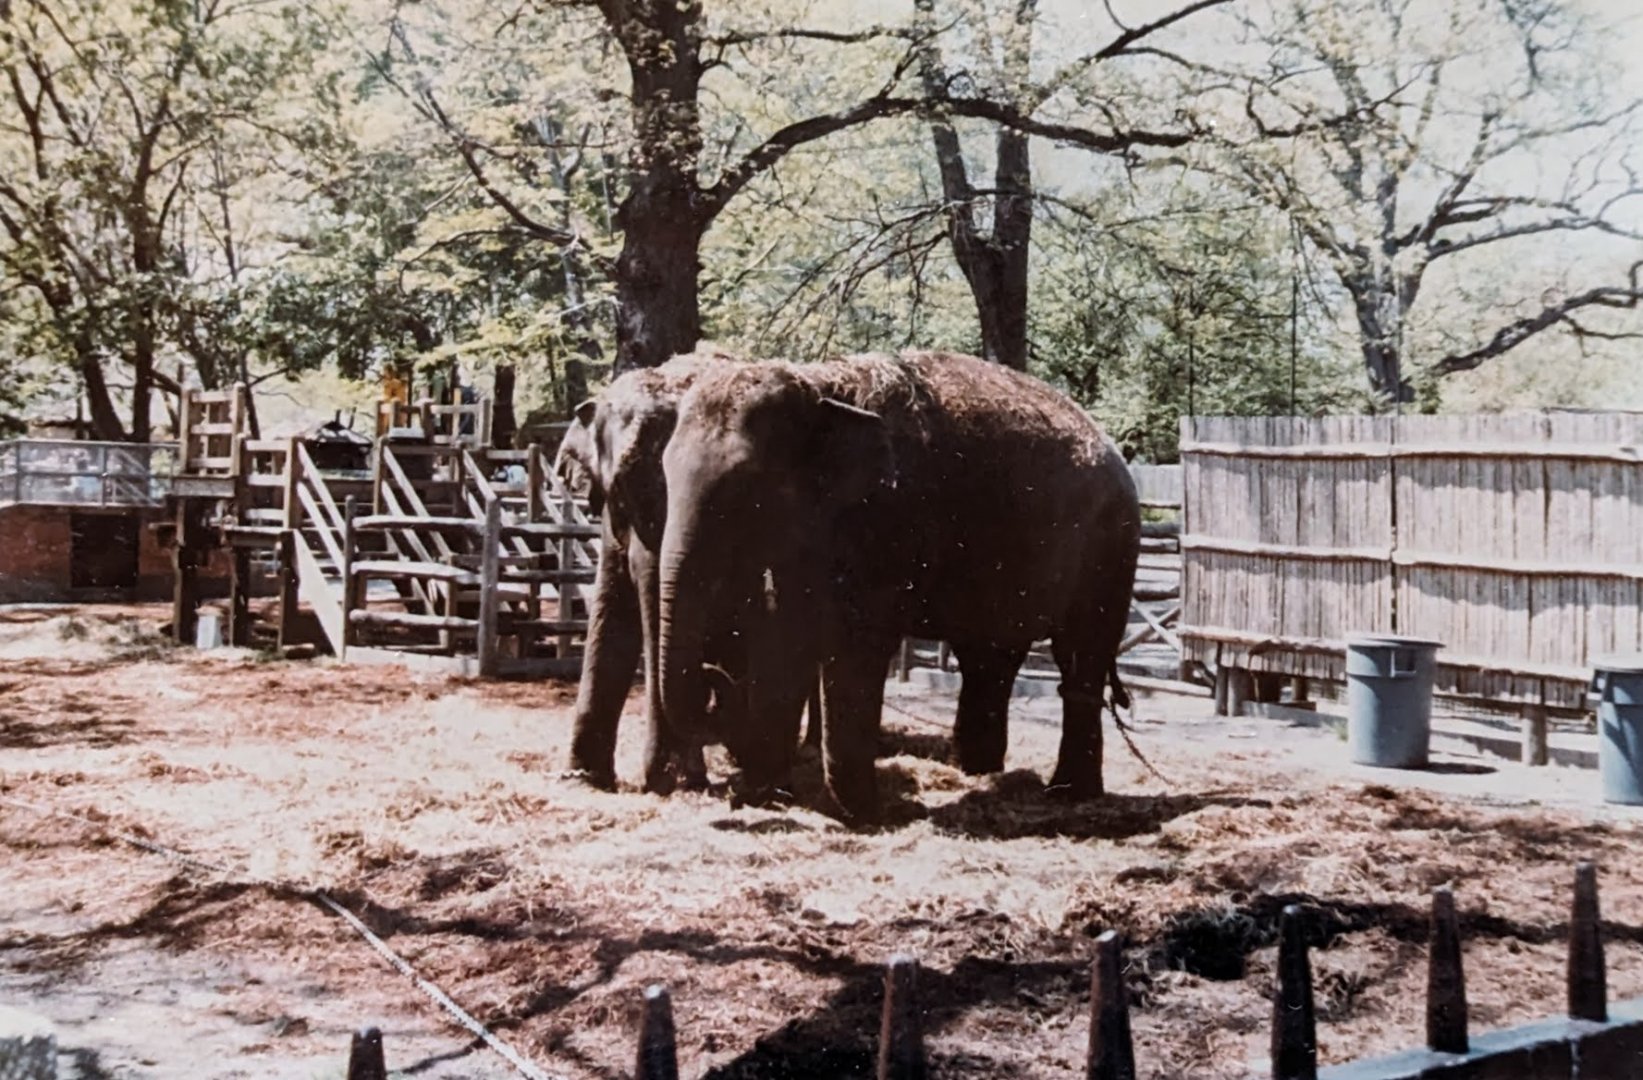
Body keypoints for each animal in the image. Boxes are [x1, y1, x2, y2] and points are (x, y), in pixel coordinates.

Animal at [555, 349, 820, 795]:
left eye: (733, 500)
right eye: (622, 487)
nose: (710, 681)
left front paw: (677, 779)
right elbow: (613, 611)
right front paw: (583, 778)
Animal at [656, 350, 1140, 823]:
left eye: (745, 489)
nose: (713, 676)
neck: (822, 383)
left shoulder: (889, 519)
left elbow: (856, 644)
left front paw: (872, 812)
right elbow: (787, 631)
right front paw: (767, 796)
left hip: (1111, 549)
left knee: (1080, 655)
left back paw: (1068, 793)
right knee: (989, 656)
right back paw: (974, 771)